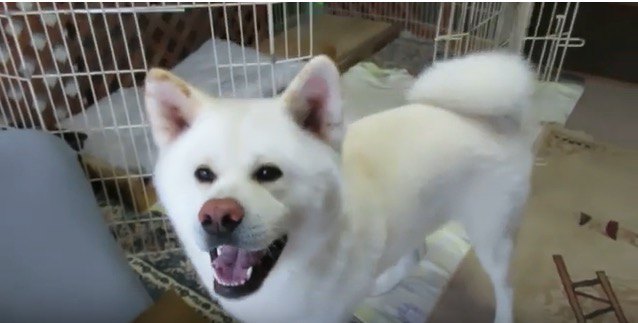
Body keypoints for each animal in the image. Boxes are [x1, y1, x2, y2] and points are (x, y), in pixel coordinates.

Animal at [146, 52, 540, 322]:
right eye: (203, 174)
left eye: (269, 173)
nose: (216, 215)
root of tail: (498, 123)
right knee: (416, 252)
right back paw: (381, 283)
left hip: (492, 236)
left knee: (504, 287)